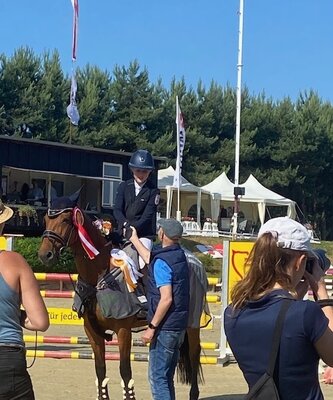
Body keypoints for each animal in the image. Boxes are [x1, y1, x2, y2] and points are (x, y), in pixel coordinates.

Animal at [39, 200, 205, 400]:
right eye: (46, 219)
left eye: (64, 220)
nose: (44, 255)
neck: (99, 276)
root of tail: (193, 259)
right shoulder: (91, 332)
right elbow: (100, 371)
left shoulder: (123, 330)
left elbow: (125, 371)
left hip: (192, 323)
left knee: (194, 354)